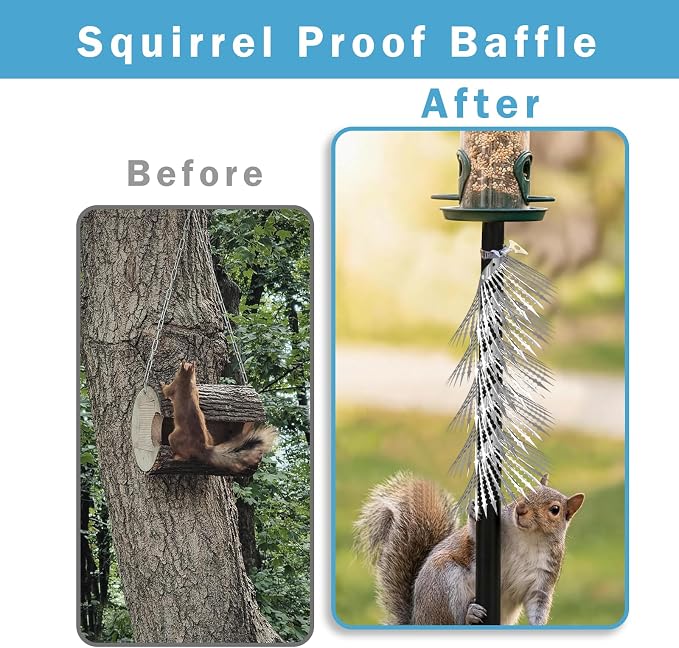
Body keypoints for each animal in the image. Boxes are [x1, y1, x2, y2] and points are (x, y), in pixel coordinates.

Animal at [354, 472, 585, 626]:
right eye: (525, 491)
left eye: (555, 510)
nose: (520, 509)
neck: (529, 538)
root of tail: (417, 620)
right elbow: (473, 535)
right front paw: (476, 510)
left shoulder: (544, 575)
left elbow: (538, 603)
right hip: (444, 581)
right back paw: (469, 615)